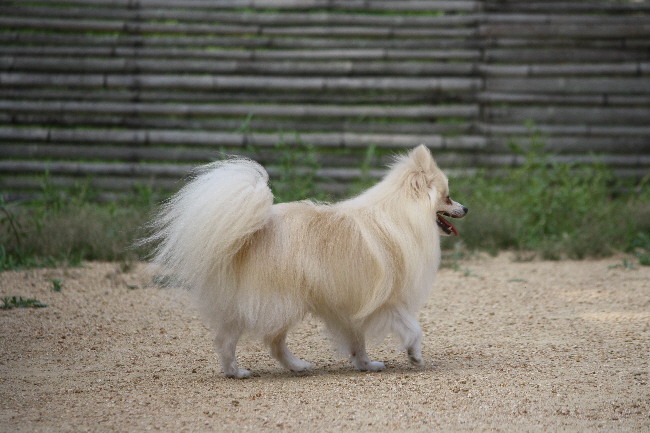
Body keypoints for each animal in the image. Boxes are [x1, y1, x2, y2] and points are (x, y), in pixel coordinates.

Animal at [144, 144, 467, 378]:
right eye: (448, 197)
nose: (465, 208)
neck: (402, 215)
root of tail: (250, 234)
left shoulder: (349, 304)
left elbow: (357, 341)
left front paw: (366, 364)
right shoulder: (387, 302)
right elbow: (413, 327)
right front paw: (415, 355)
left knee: (235, 339)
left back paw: (261, 368)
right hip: (281, 301)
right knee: (261, 341)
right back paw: (249, 371)